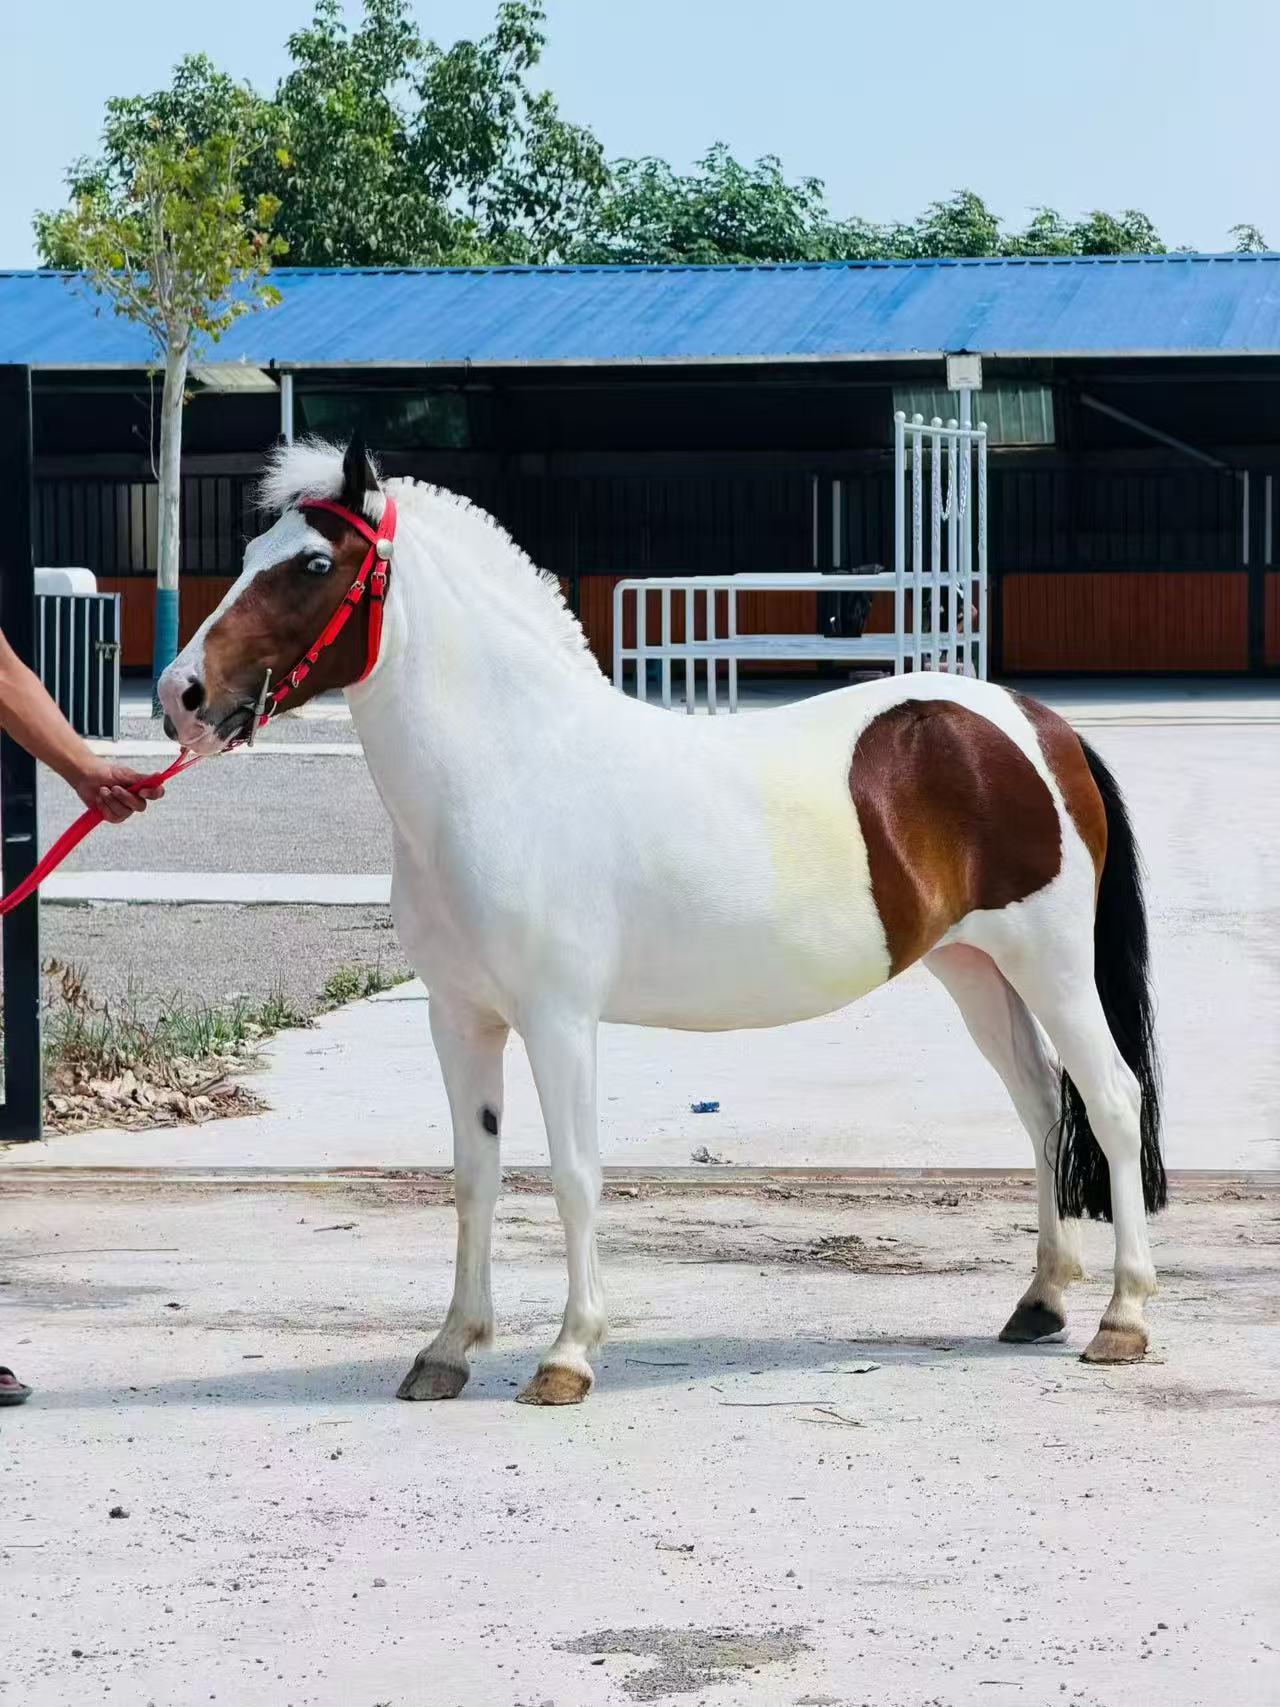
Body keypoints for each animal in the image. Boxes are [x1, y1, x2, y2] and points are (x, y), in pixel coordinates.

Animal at [158, 436, 1166, 1406]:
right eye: (248, 554)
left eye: (314, 562)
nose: (181, 694)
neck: (508, 767)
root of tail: (1034, 725)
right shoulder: (460, 1017)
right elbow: (475, 1176)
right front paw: (447, 1350)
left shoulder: (558, 1018)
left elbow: (575, 1175)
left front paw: (568, 1356)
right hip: (975, 968)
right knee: (1041, 1106)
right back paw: (1040, 1301)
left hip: (1053, 963)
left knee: (1111, 1101)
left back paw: (1122, 1318)